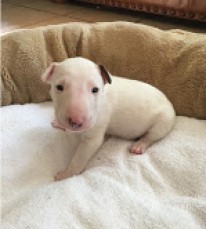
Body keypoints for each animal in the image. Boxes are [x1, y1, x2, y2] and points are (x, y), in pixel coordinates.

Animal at [42, 56, 175, 181]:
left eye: (95, 89)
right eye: (59, 87)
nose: (76, 121)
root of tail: (168, 102)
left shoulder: (93, 137)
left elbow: (79, 158)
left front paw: (66, 174)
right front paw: (58, 123)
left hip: (163, 122)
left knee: (151, 136)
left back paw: (139, 145)